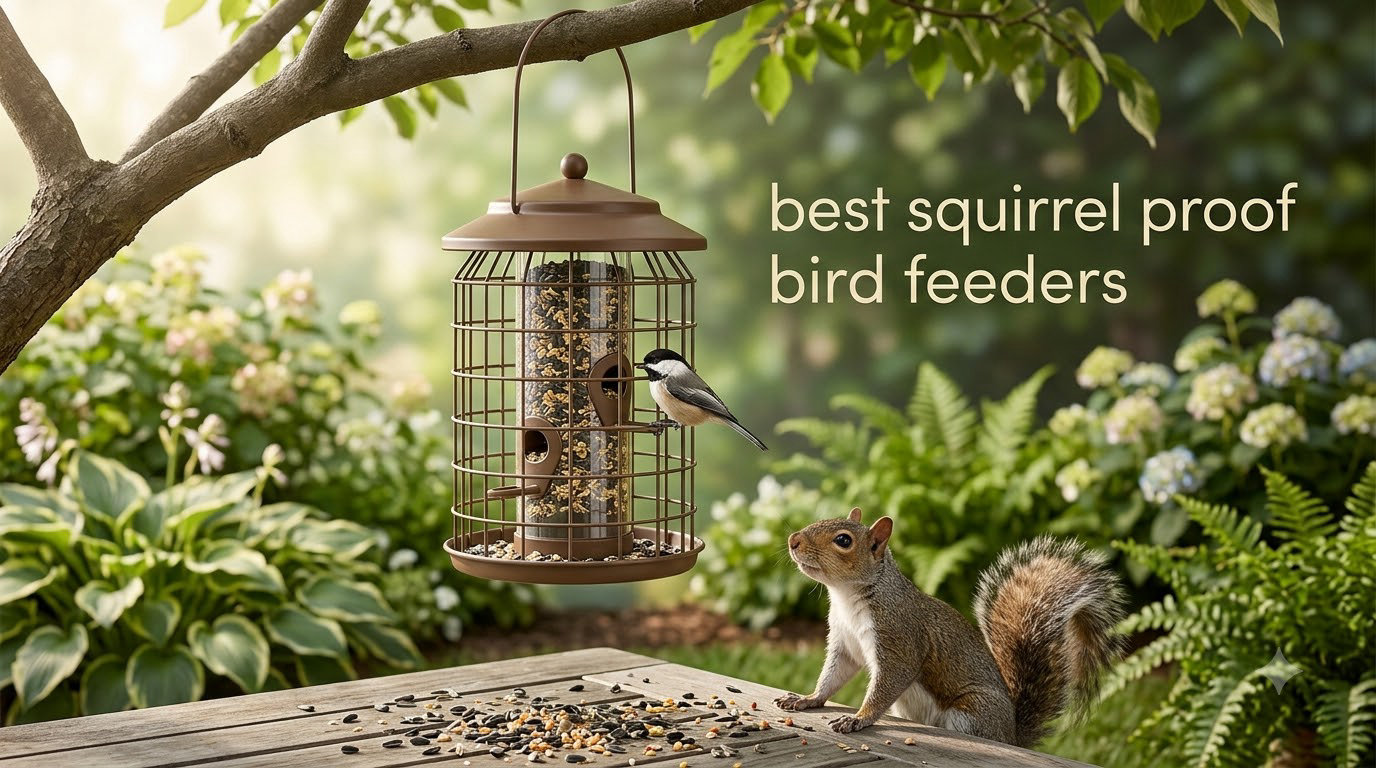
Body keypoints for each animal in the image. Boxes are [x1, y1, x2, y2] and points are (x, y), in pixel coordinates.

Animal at [775, 508, 1124, 748]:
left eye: (843, 540)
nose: (793, 540)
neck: (847, 597)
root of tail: (1010, 734)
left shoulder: (899, 637)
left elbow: (887, 683)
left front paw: (857, 718)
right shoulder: (845, 642)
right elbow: (834, 675)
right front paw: (807, 699)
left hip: (971, 711)